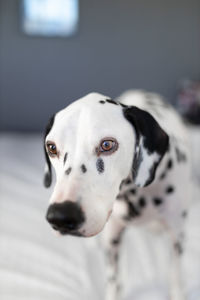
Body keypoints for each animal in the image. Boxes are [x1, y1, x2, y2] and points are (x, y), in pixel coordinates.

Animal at [43, 91, 191, 300]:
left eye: (107, 144)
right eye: (52, 147)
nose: (61, 216)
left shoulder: (176, 235)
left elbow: (176, 273)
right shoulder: (112, 239)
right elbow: (114, 281)